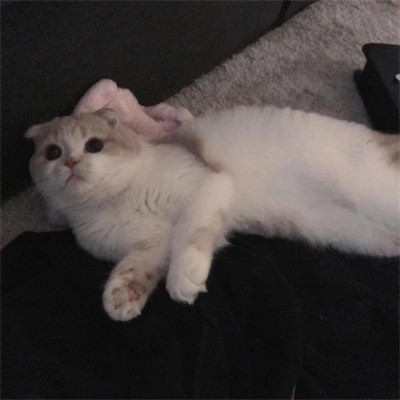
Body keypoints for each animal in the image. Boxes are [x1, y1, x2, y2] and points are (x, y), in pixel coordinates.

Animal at [26, 106, 400, 321]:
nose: (71, 162)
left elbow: (189, 233)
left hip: (375, 192)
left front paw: (184, 277)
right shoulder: (149, 245)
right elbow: (137, 266)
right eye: (53, 152)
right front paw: (122, 295)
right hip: (366, 235)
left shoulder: (206, 185)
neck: (116, 200)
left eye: (94, 145)